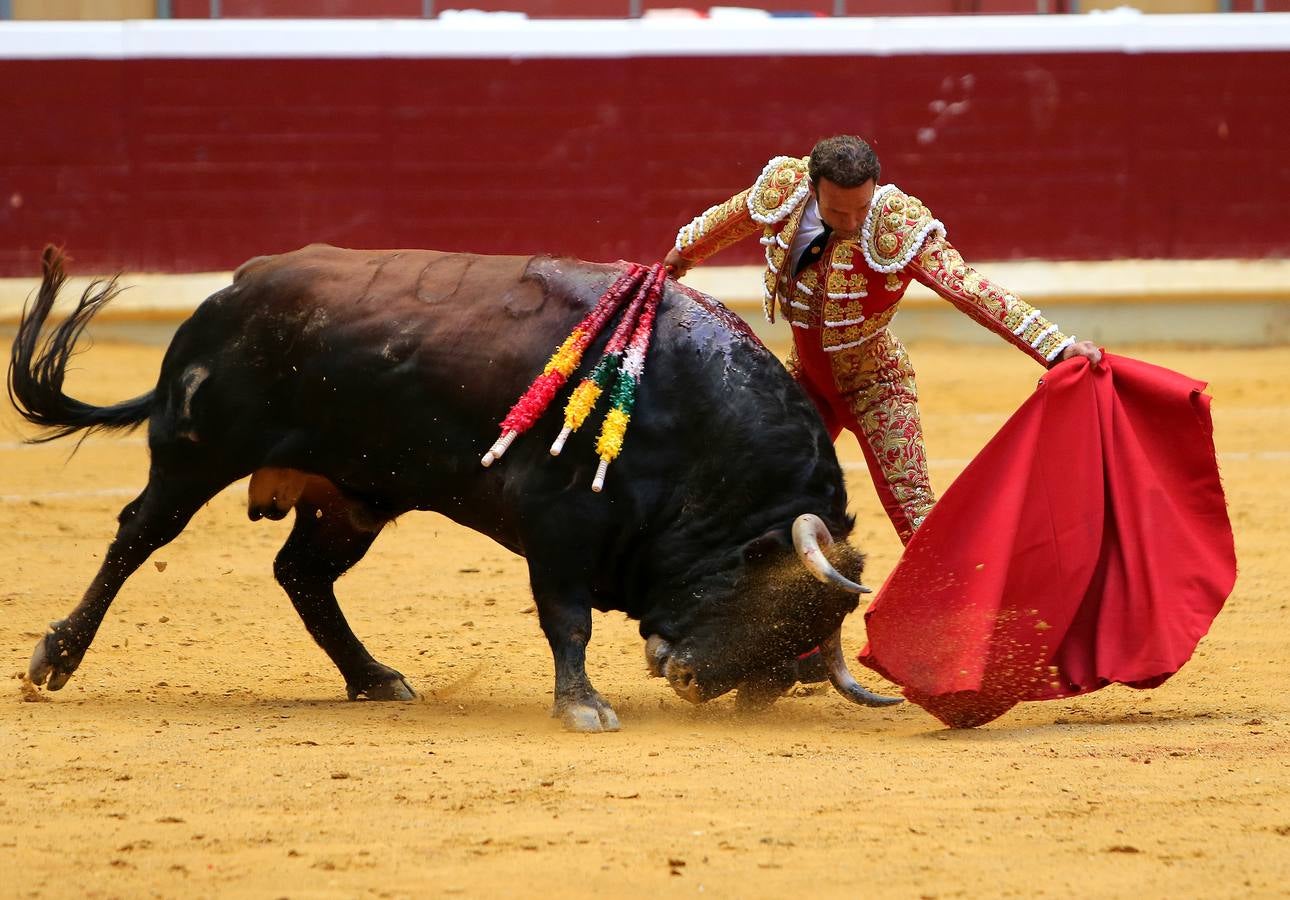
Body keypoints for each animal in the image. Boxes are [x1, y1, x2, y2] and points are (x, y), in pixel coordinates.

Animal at [10, 243, 897, 727]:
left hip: (351, 497)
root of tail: (232, 288)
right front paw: (582, 707)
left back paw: (374, 678)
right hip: (196, 453)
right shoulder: (558, 524)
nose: (693, 683)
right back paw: (55, 658)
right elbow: (566, 621)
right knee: (136, 535)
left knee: (301, 573)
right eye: (767, 597)